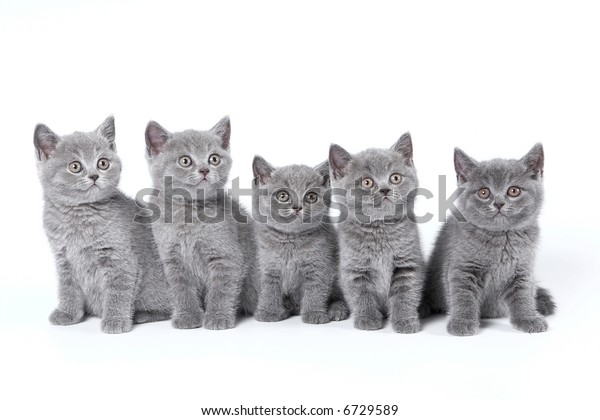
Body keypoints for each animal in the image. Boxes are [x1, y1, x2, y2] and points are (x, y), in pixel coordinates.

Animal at [34, 116, 171, 334]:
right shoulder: (63, 259)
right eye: (75, 166)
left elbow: (118, 291)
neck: (79, 217)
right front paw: (68, 313)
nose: (94, 175)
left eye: (103, 163)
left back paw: (141, 315)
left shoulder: (120, 259)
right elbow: (67, 288)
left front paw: (115, 320)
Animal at [146, 116, 258, 330]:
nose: (205, 169)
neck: (189, 215)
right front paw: (187, 316)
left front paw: (217, 317)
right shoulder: (172, 259)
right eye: (185, 160)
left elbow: (222, 289)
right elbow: (180, 289)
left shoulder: (226, 256)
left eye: (214, 158)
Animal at [251, 158, 350, 324]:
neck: (292, 240)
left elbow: (315, 290)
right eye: (283, 195)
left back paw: (337, 309)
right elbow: (268, 289)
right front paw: (268, 313)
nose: (297, 207)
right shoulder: (267, 263)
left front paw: (314, 313)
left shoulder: (319, 265)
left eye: (311, 196)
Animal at [330, 133, 424, 334]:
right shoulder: (354, 268)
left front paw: (405, 320)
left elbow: (405, 293)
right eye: (367, 182)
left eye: (395, 178)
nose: (385, 189)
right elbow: (361, 295)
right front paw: (367, 320)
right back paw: (337, 309)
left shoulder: (407, 263)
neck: (380, 229)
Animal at [424, 144, 556, 334]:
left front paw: (528, 318)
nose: (499, 203)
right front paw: (462, 322)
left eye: (513, 190)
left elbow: (523, 295)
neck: (501, 239)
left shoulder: (523, 269)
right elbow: (463, 295)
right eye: (483, 192)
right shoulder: (462, 268)